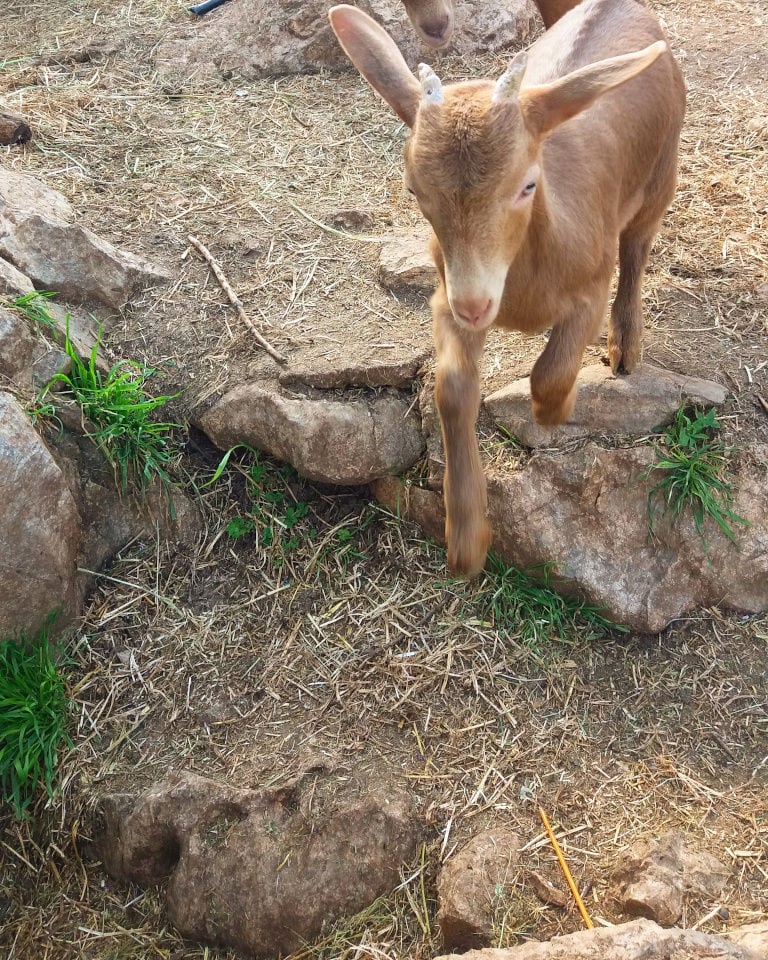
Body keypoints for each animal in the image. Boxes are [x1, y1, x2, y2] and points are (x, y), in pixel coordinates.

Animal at [328, 0, 684, 572]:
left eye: (527, 185)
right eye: (414, 189)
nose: (476, 305)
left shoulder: (590, 284)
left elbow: (551, 373)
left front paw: (554, 414)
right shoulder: (448, 295)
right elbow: (451, 387)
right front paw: (466, 539)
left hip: (660, 174)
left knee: (637, 247)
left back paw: (625, 348)